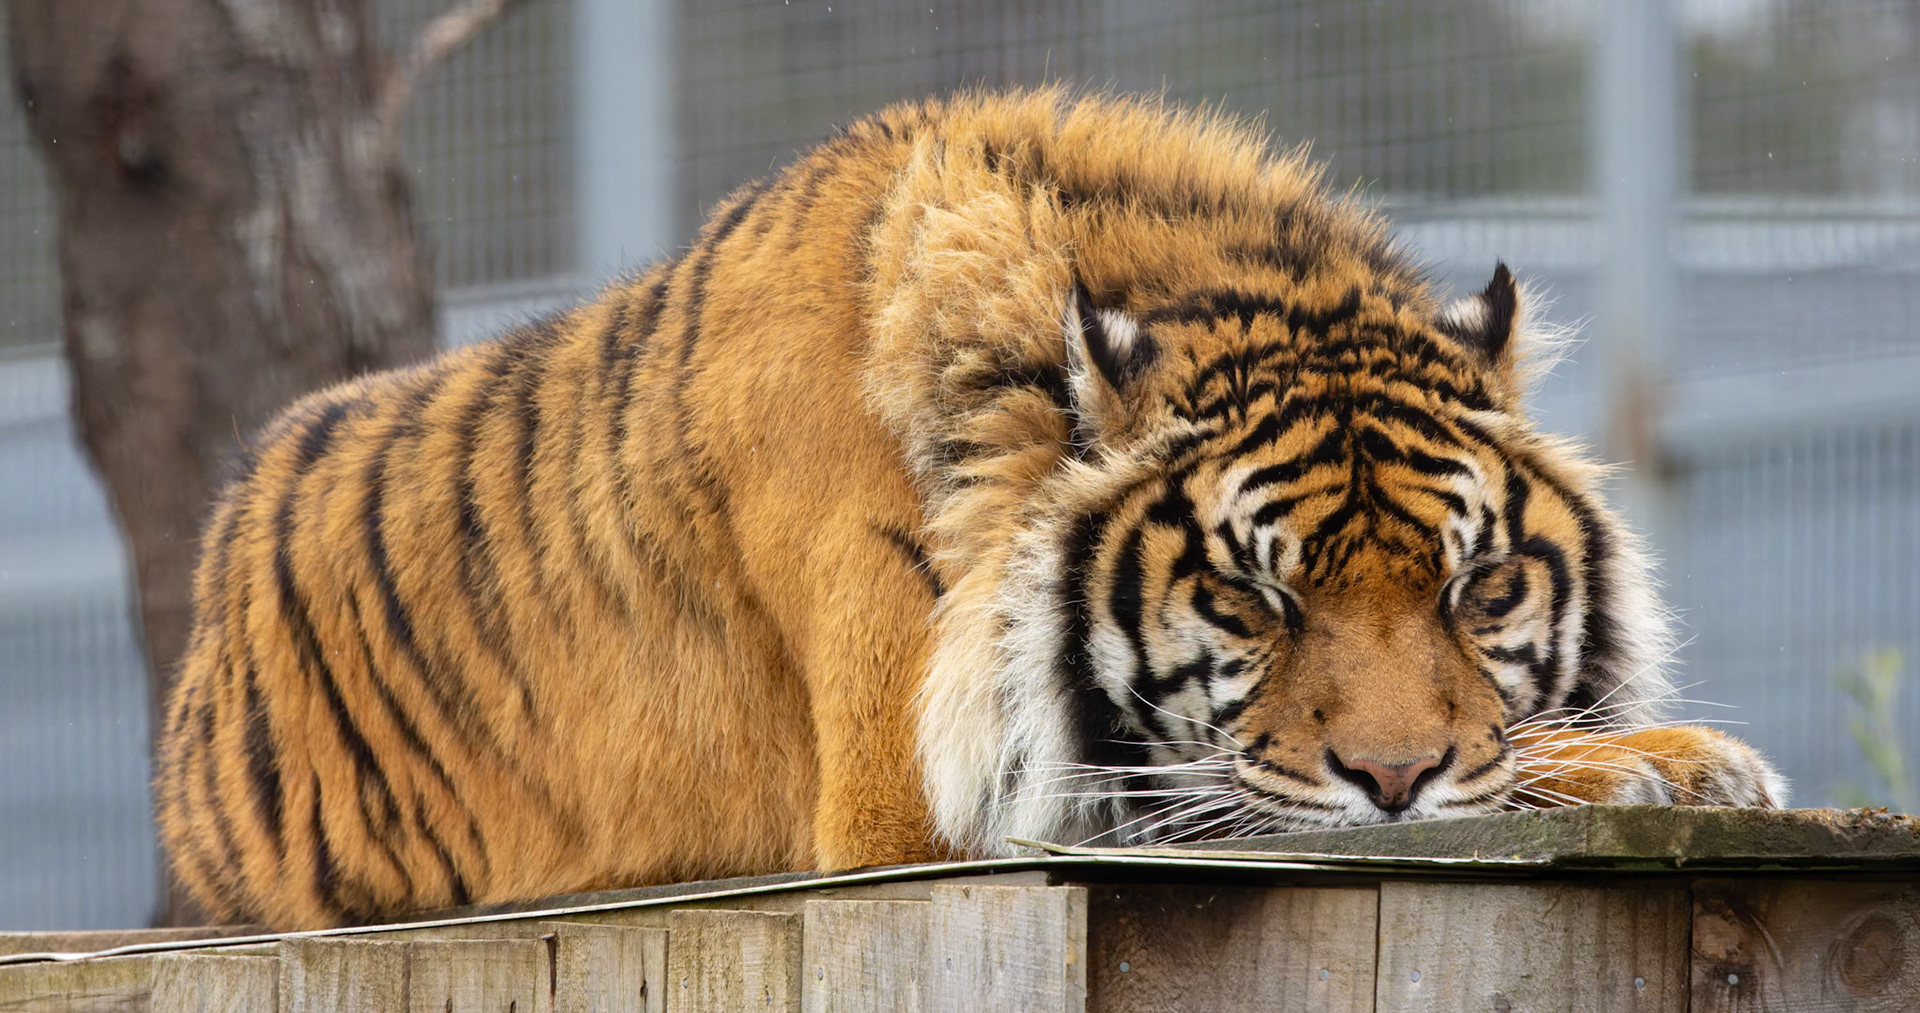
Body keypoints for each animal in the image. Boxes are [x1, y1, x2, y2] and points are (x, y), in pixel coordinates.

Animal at [156, 89, 1785, 929]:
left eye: (1474, 588)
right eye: (1255, 597)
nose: (1398, 781)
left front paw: (1668, 752)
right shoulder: (924, 812)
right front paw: (1661, 761)